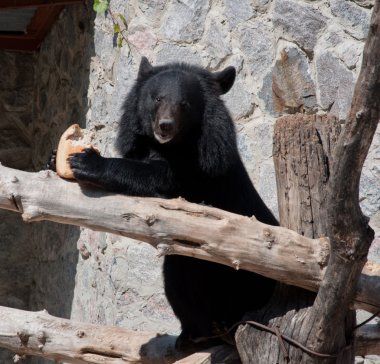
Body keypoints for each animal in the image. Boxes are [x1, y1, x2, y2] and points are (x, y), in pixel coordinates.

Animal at [69, 57, 276, 350]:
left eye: (184, 104)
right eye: (157, 98)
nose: (165, 125)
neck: (171, 146)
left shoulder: (201, 168)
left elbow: (160, 178)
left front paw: (85, 161)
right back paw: (192, 335)